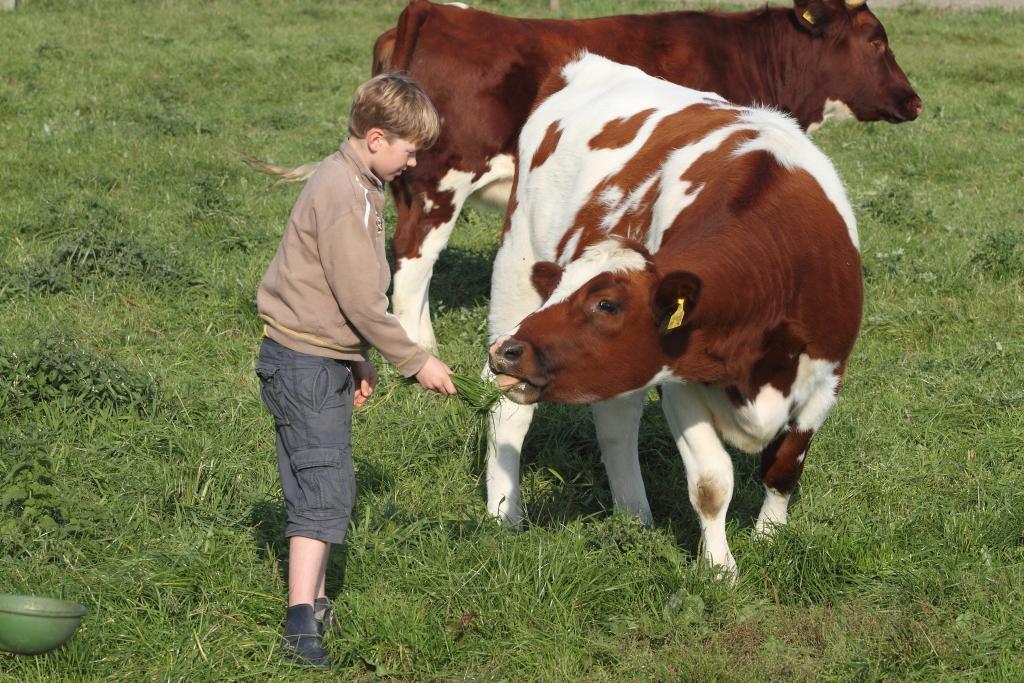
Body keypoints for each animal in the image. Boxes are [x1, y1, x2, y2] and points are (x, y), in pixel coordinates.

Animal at [374, 0, 913, 350]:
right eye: (876, 41)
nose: (914, 100)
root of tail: (433, 10)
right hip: (442, 185)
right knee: (414, 262)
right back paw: (423, 358)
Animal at [483, 54, 860, 577]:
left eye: (606, 304)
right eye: (555, 291)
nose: (509, 352)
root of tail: (584, 64)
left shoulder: (827, 380)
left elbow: (784, 467)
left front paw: (769, 536)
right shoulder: (681, 381)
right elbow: (711, 482)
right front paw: (720, 570)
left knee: (615, 419)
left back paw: (634, 517)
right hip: (514, 268)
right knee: (509, 416)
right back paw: (505, 514)